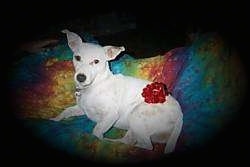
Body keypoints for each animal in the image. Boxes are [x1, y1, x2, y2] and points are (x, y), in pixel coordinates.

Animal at [50, 29, 184, 153]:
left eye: (96, 61)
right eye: (77, 58)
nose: (80, 77)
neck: (94, 86)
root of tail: (180, 116)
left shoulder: (111, 114)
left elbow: (96, 131)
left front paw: (100, 139)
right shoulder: (81, 109)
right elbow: (66, 111)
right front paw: (53, 120)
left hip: (136, 114)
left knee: (146, 146)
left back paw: (111, 142)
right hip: (135, 127)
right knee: (130, 141)